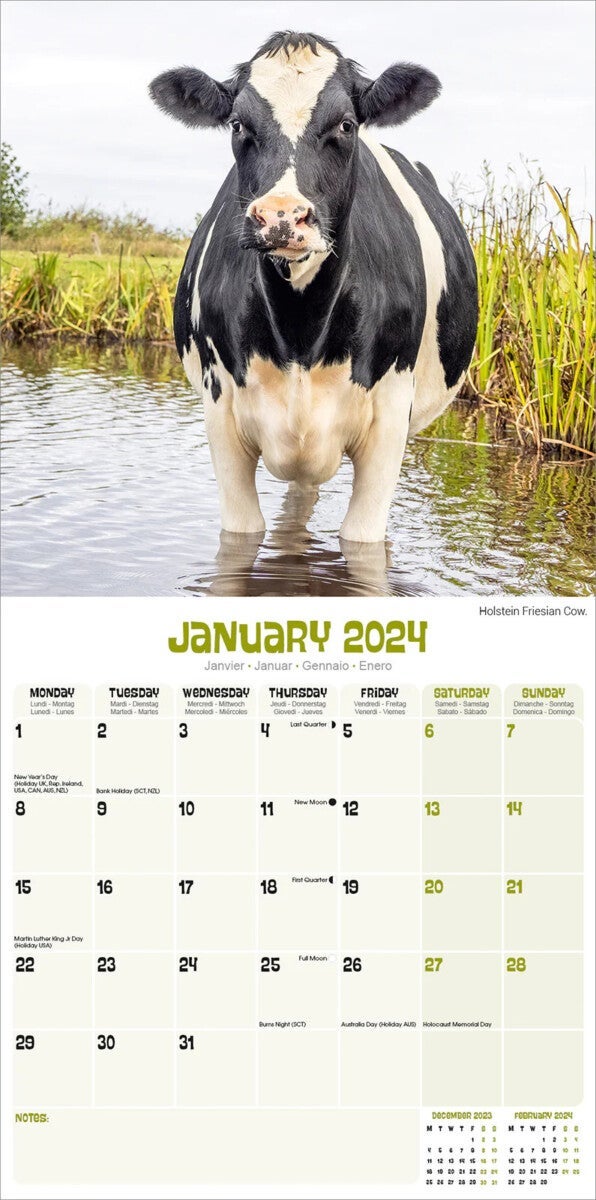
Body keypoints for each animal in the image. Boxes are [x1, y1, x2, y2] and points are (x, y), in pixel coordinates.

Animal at [150, 31, 477, 543]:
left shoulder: (390, 421)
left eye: (346, 125)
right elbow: (242, 534)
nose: (282, 216)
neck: (300, 331)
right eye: (238, 124)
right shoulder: (219, 412)